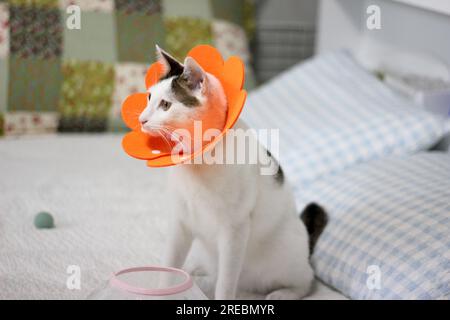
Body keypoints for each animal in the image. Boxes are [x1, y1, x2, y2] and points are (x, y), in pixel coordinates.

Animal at [139, 45, 326, 300]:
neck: (198, 163)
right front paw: (162, 290)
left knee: (307, 280)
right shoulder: (180, 221)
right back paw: (196, 269)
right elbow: (170, 264)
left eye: (166, 105)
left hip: (285, 257)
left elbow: (226, 283)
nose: (142, 119)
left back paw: (283, 293)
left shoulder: (234, 229)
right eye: (149, 97)